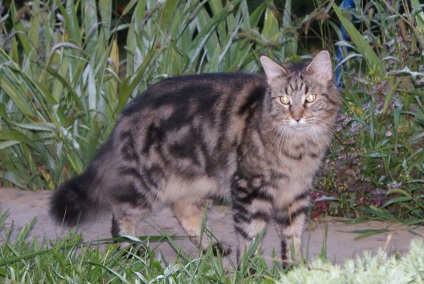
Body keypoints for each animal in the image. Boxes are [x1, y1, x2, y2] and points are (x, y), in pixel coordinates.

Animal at [49, 50, 342, 264]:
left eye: (310, 98)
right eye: (284, 100)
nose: (297, 117)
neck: (298, 150)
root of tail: (129, 109)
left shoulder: (295, 194)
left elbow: (292, 239)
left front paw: (295, 269)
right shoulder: (248, 190)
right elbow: (250, 239)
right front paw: (251, 271)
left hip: (194, 180)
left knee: (183, 210)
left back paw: (210, 246)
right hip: (148, 183)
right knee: (120, 210)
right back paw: (129, 250)